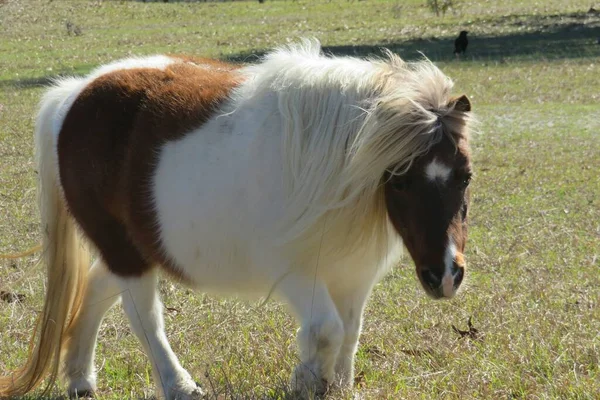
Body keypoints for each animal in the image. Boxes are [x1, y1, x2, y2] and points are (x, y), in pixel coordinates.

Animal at [0, 41, 474, 400]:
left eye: (465, 175)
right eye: (400, 181)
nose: (446, 275)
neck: (343, 169)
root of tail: (73, 94)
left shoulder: (353, 274)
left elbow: (350, 333)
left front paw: (332, 384)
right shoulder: (297, 272)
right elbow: (326, 331)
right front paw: (306, 381)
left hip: (129, 248)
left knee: (99, 287)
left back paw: (80, 378)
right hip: (123, 249)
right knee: (144, 316)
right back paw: (178, 386)